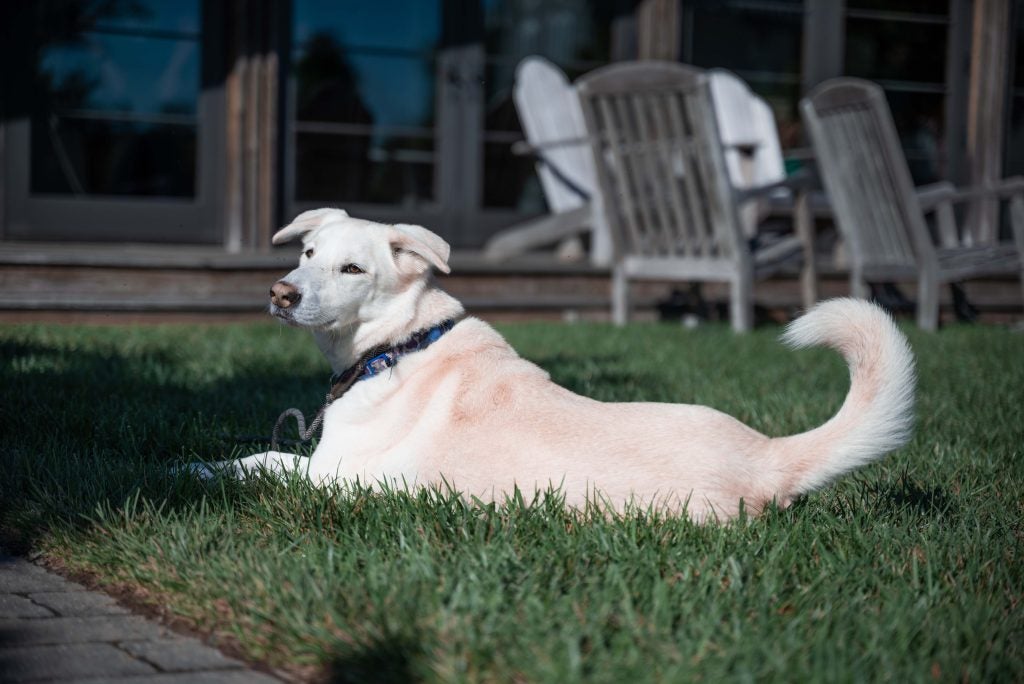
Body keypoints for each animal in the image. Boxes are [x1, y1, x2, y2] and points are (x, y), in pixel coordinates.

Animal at [211, 205, 917, 520]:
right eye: (306, 253)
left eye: (352, 269)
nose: (280, 292)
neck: (401, 342)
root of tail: (770, 456)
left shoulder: (338, 478)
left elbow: (261, 460)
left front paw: (201, 470)